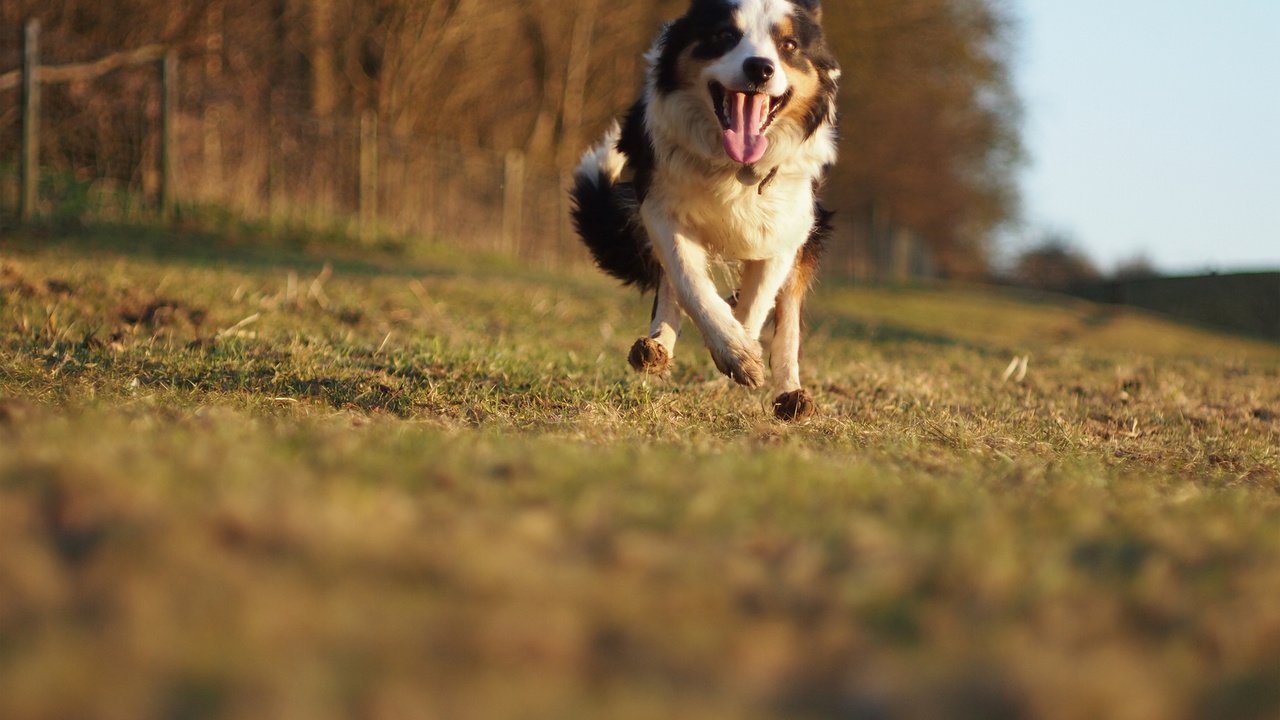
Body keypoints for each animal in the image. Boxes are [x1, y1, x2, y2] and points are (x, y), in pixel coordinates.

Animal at [573, 0, 839, 420]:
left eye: (789, 45)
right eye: (724, 36)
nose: (760, 68)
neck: (733, 165)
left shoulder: (790, 228)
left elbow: (759, 302)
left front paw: (742, 347)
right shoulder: (660, 205)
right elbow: (688, 280)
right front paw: (733, 350)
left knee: (787, 318)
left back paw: (791, 395)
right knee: (672, 286)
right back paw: (656, 347)